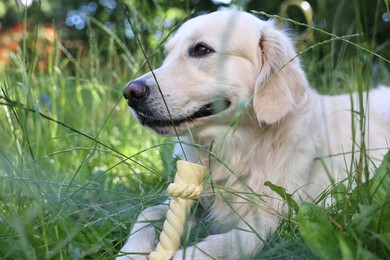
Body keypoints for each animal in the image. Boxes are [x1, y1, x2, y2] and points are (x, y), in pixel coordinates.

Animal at [118, 10, 390, 260]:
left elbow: (237, 242)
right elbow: (147, 213)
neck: (239, 149)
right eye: (166, 55)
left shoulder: (282, 214)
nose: (130, 93)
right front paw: (130, 252)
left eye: (201, 50)